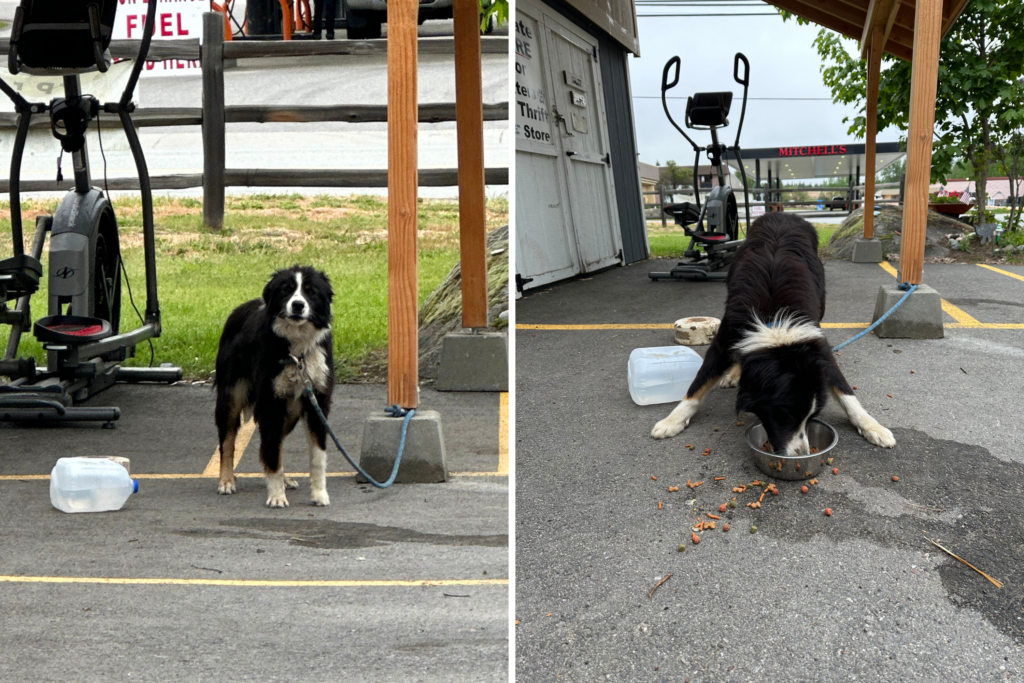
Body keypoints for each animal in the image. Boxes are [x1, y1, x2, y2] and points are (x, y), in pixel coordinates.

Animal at [212, 266, 335, 507]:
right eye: (286, 290)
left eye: (311, 292)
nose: (298, 305)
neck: (297, 351)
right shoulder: (270, 403)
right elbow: (270, 450)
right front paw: (277, 496)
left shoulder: (317, 402)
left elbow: (317, 456)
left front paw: (319, 495)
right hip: (231, 396)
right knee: (228, 441)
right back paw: (226, 480)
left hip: (292, 410)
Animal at [651, 211, 892, 454]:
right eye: (786, 414)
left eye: (812, 416)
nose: (803, 454)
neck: (774, 320)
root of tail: (783, 213)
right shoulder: (727, 336)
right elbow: (697, 384)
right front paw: (672, 421)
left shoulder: (817, 349)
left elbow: (846, 392)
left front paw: (873, 426)